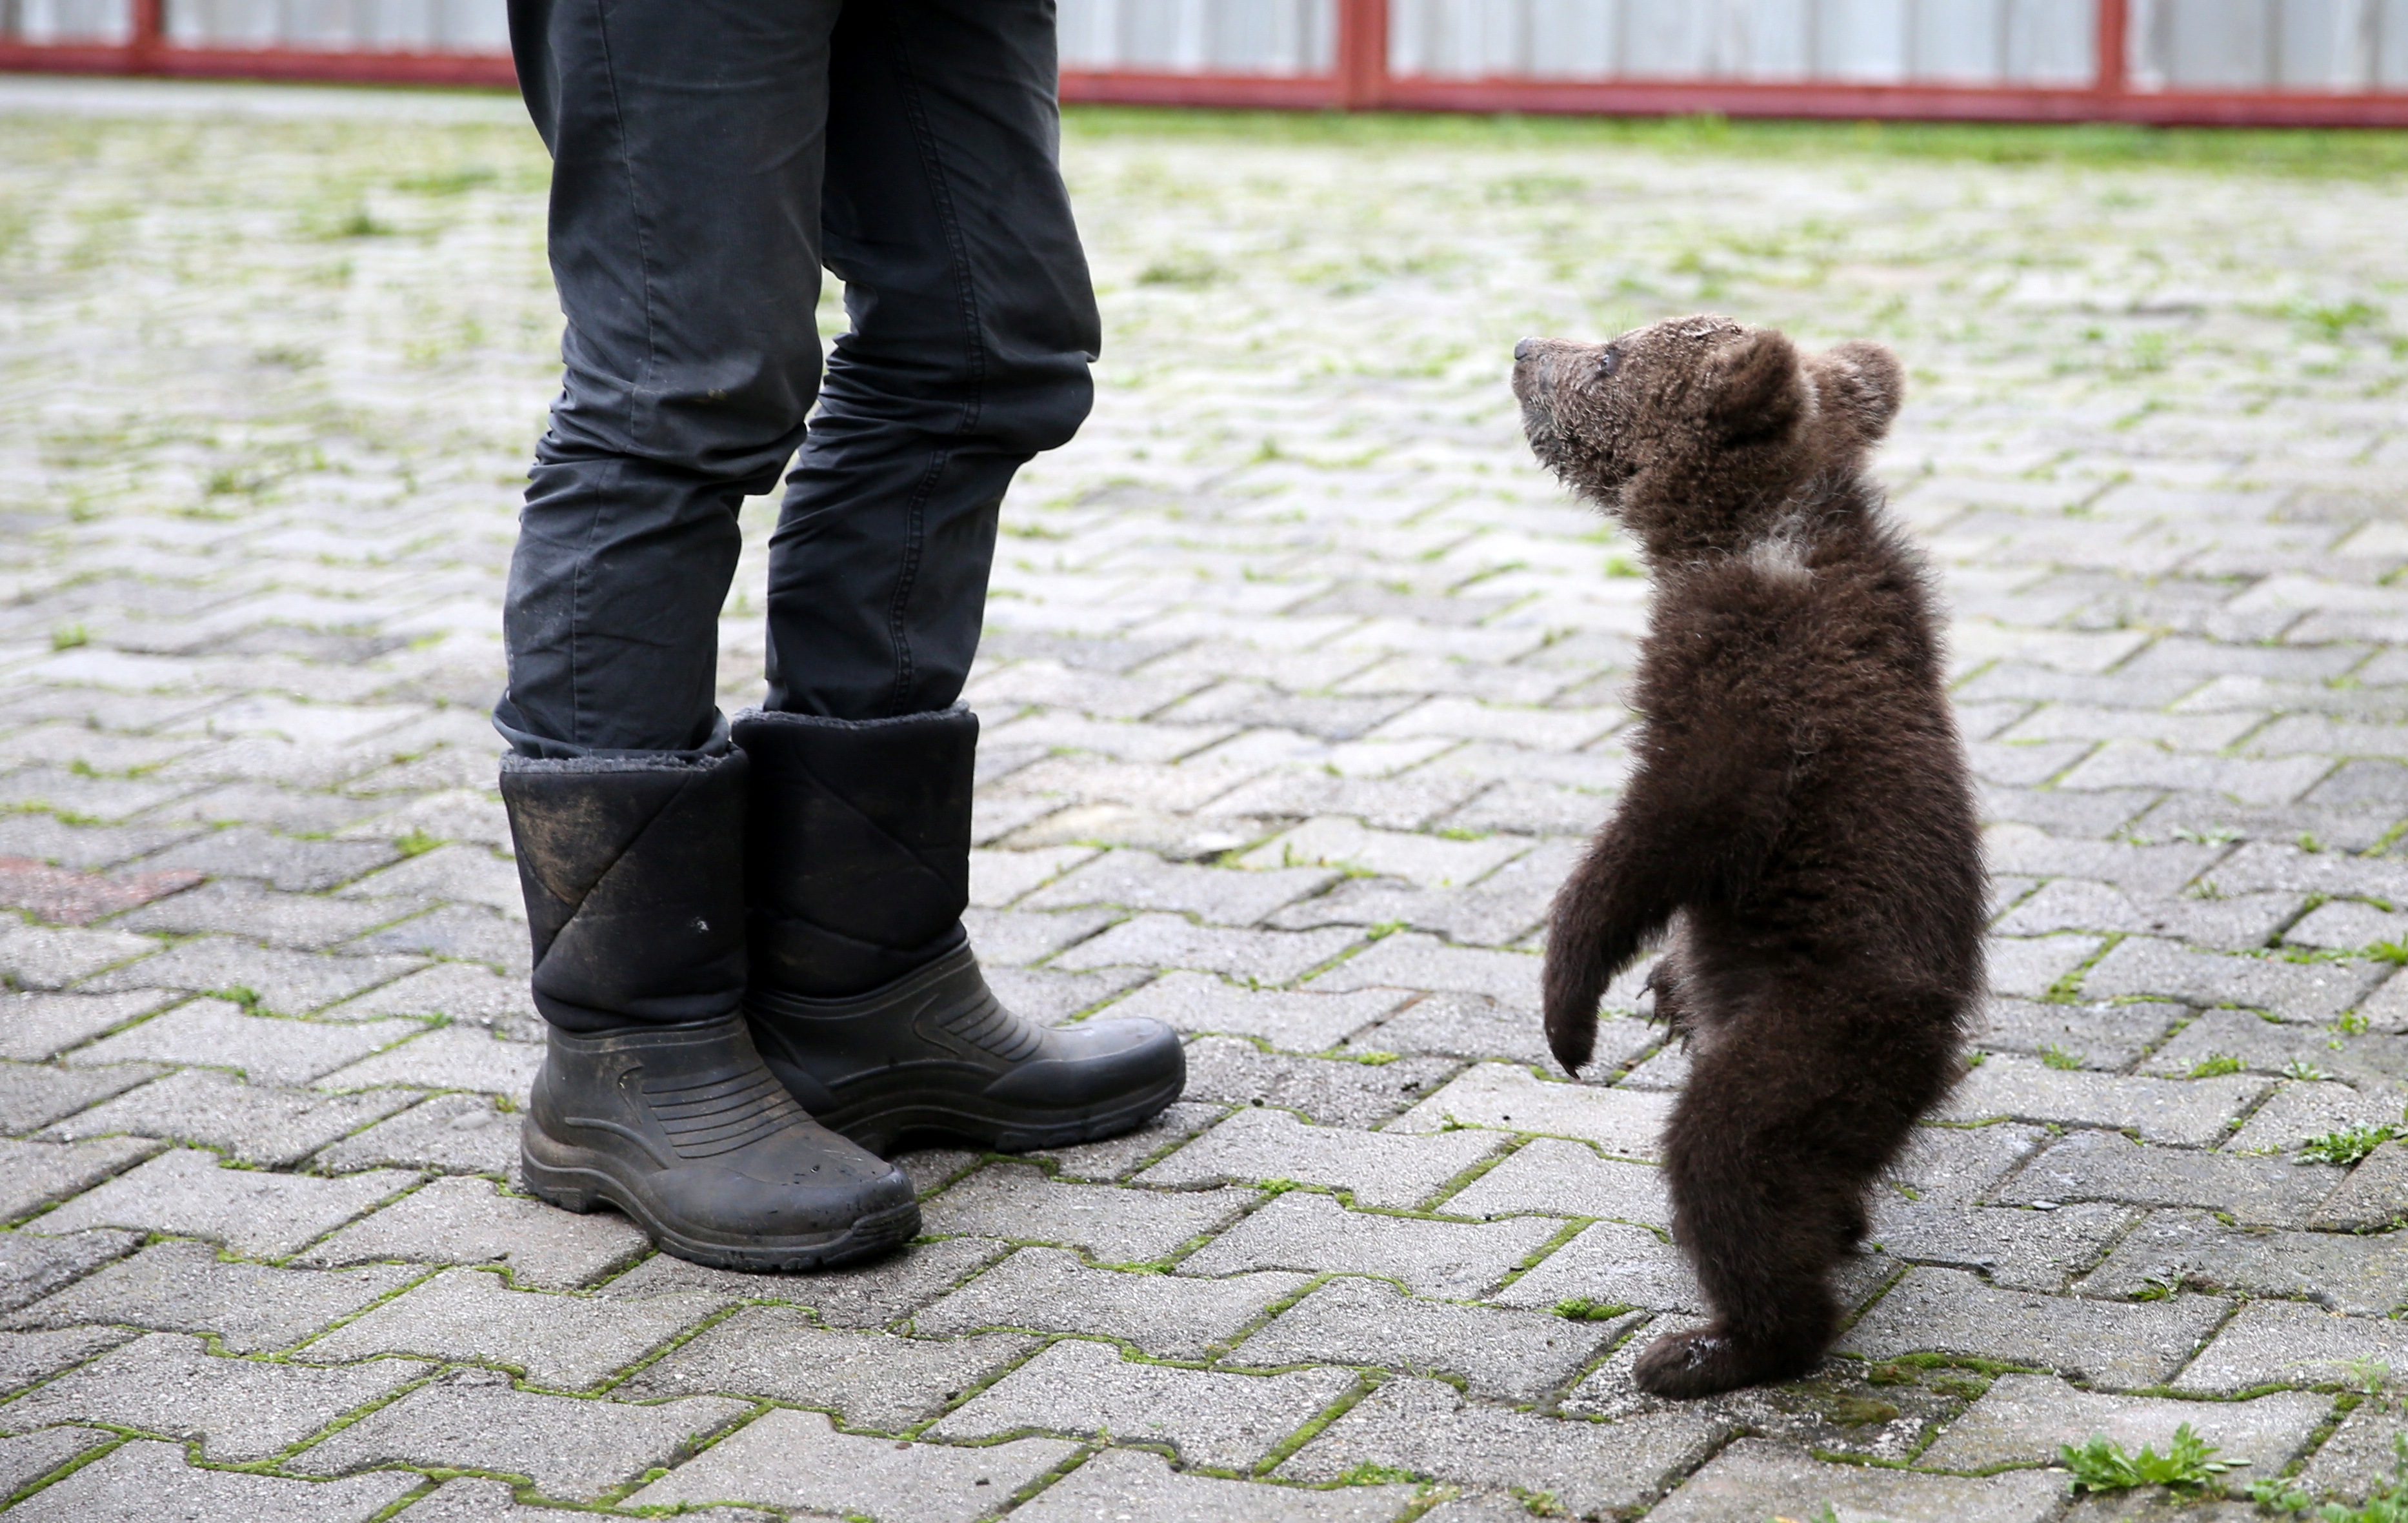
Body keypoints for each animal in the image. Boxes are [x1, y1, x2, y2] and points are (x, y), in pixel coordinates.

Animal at [1512, 314, 1986, 1400]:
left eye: (1610, 357)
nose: (1522, 351)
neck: (1746, 535)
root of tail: (1937, 1060)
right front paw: (1659, 986)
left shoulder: (1750, 706)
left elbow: (1656, 837)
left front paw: (1569, 1011)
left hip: (1816, 1037)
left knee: (1728, 1162)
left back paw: (1712, 1347)